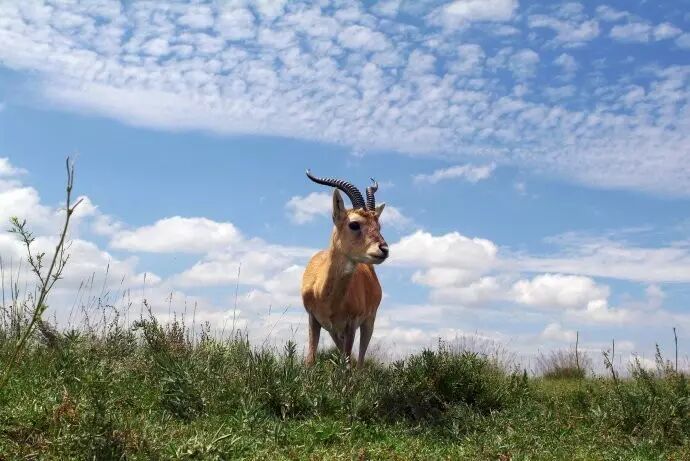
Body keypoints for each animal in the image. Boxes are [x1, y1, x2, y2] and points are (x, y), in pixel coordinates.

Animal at [301, 170, 389, 367]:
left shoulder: (351, 324)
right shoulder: (314, 319)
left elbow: (346, 364)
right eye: (354, 223)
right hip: (334, 331)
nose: (384, 249)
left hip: (368, 323)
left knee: (360, 361)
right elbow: (311, 359)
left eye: (378, 225)